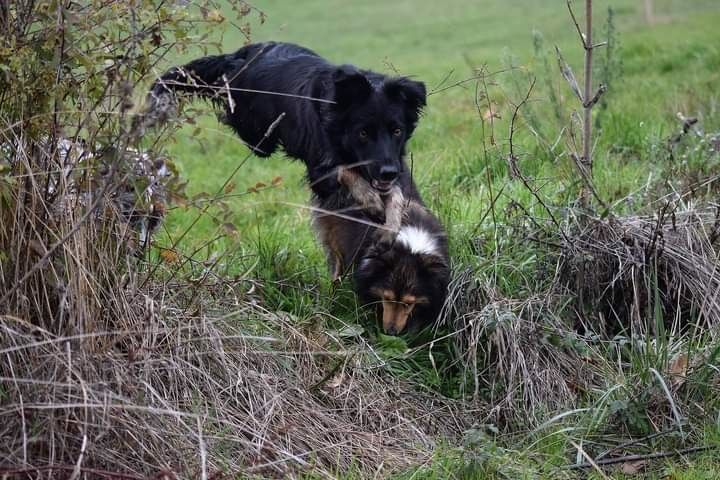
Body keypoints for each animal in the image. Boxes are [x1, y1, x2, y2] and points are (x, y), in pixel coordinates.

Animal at [148, 41, 424, 218]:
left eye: (397, 131)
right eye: (363, 133)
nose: (388, 173)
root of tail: (240, 54)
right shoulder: (320, 167)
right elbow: (345, 172)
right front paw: (370, 199)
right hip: (256, 133)